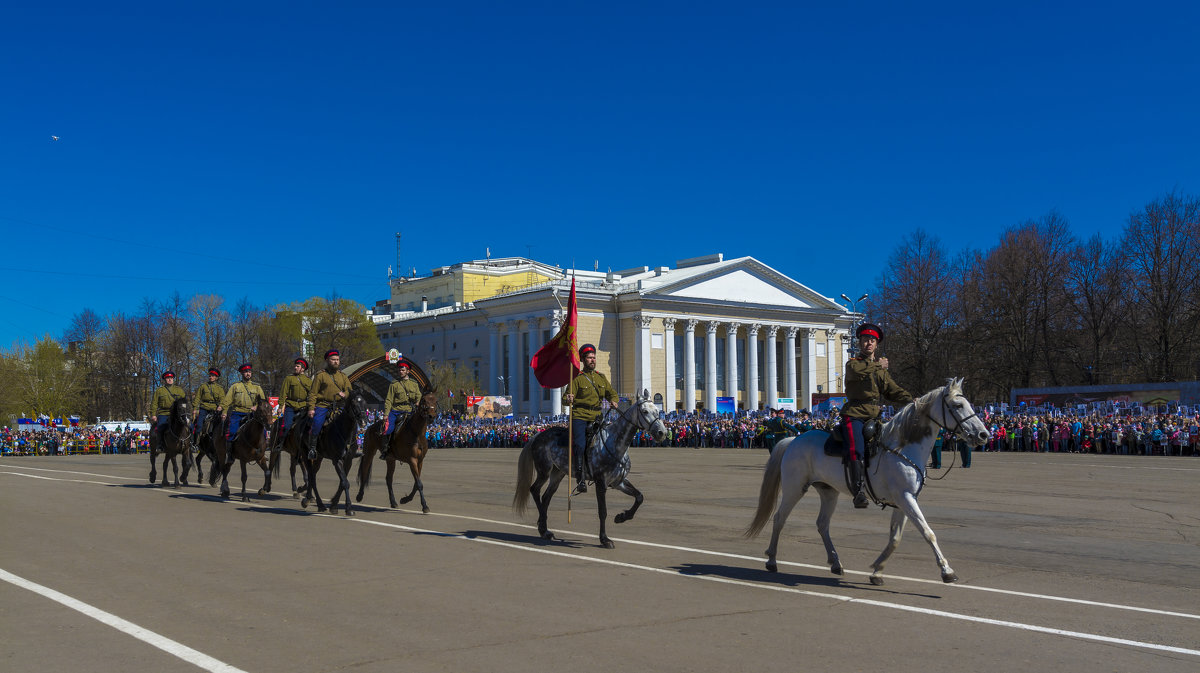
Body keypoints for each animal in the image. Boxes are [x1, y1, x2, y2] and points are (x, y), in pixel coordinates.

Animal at [511, 391, 672, 549]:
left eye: (657, 410)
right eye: (645, 411)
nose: (662, 432)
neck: (613, 443)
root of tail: (538, 435)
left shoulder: (618, 482)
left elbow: (639, 497)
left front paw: (621, 517)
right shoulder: (601, 483)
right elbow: (603, 512)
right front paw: (605, 539)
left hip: (558, 474)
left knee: (546, 497)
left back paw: (544, 530)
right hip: (544, 471)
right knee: (534, 490)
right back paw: (543, 527)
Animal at [744, 379, 988, 583]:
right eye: (958, 405)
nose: (983, 435)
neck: (903, 448)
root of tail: (794, 439)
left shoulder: (904, 501)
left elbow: (895, 538)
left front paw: (877, 570)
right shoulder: (906, 498)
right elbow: (928, 533)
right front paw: (947, 570)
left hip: (828, 492)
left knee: (822, 524)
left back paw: (835, 563)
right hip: (794, 489)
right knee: (779, 518)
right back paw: (771, 560)